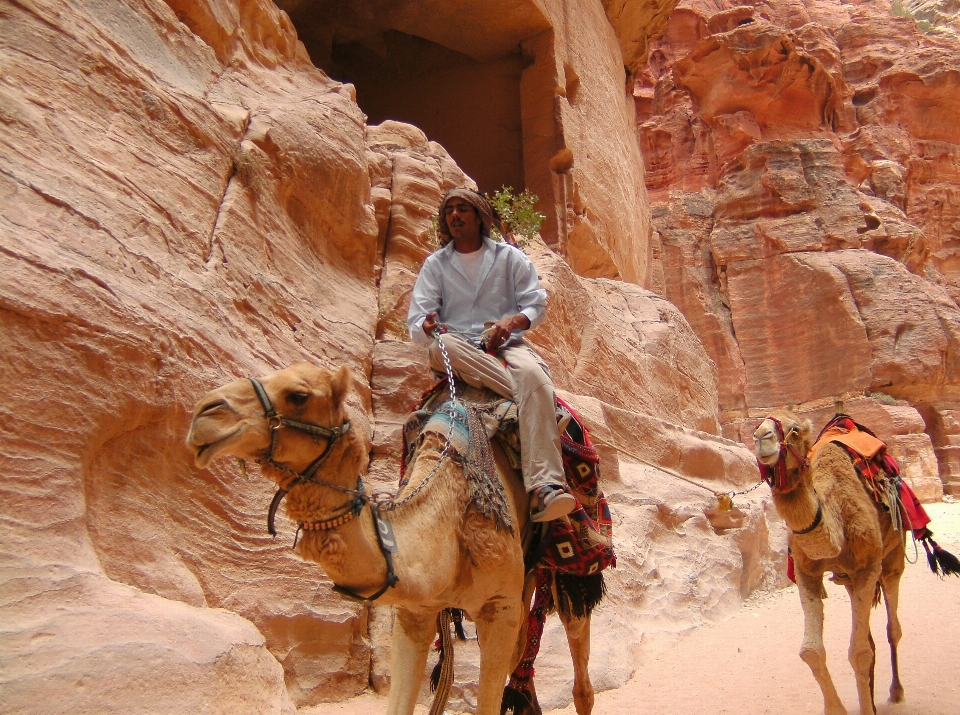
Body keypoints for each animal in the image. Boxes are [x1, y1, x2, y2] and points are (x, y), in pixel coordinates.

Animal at [186, 364, 592, 715]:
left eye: (298, 395)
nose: (204, 412)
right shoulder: (417, 609)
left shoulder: (498, 606)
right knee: (522, 649)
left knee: (577, 660)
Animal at [752, 408, 904, 715]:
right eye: (756, 427)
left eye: (794, 430)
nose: (762, 437)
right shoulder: (805, 571)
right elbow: (811, 651)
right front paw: (839, 709)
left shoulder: (868, 565)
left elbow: (859, 652)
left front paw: (867, 709)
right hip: (849, 579)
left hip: (893, 556)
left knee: (892, 627)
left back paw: (895, 691)